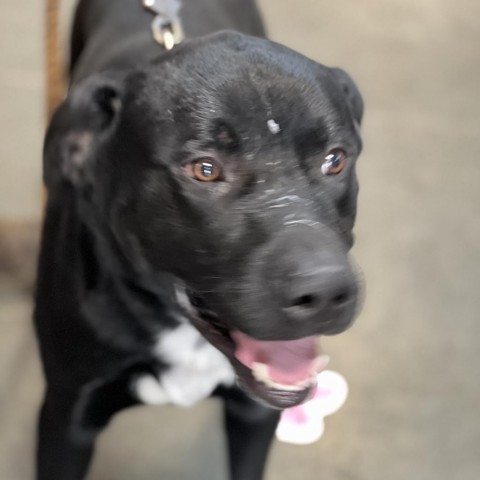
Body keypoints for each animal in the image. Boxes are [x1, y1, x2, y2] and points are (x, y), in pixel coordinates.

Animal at [34, 0, 364, 480]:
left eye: (334, 160)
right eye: (205, 169)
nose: (324, 293)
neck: (177, 327)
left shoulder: (253, 415)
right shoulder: (66, 419)